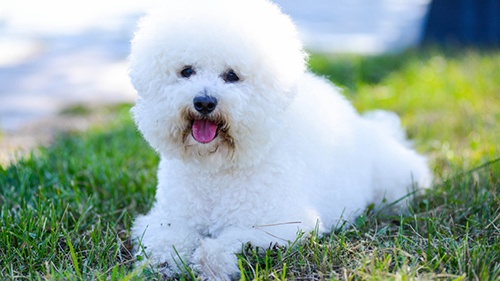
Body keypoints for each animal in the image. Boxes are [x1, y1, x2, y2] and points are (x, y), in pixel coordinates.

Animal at [127, 0, 432, 278]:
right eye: (186, 71)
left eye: (231, 76)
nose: (204, 102)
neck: (217, 169)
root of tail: (368, 127)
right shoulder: (169, 217)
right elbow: (166, 239)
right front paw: (164, 263)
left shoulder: (280, 225)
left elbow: (230, 242)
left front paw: (208, 262)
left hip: (396, 182)